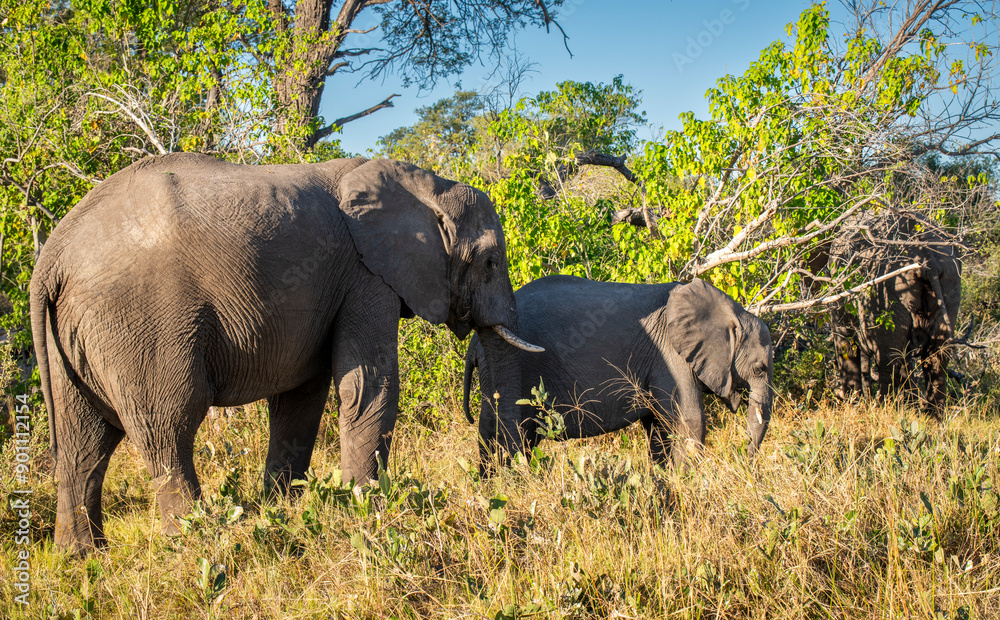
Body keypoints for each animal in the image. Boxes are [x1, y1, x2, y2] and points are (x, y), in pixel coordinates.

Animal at [30, 153, 542, 554]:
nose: (491, 480)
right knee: (168, 427)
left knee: (83, 443)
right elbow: (368, 384)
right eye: (491, 262)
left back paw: (82, 558)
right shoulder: (366, 276)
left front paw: (285, 508)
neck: (426, 183)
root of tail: (50, 260)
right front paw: (366, 507)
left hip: (76, 336)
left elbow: (301, 399)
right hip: (141, 322)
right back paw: (199, 540)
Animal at [463, 275, 774, 467]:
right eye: (759, 369)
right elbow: (690, 421)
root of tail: (474, 344)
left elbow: (659, 427)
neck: (730, 310)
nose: (745, 459)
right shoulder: (670, 354)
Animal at [828, 210, 961, 417]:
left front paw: (853, 408)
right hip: (950, 282)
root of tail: (929, 261)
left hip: (887, 289)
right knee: (937, 356)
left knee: (888, 357)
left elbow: (845, 345)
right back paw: (933, 418)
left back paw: (884, 410)